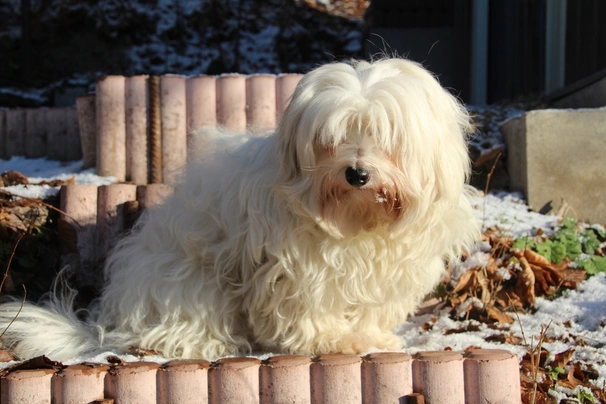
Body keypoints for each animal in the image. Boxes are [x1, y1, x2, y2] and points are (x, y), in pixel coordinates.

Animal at [2, 56, 482, 360]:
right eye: (332, 140)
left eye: (385, 137)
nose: (357, 174)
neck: (360, 222)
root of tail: (113, 320)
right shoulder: (297, 270)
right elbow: (310, 309)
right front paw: (328, 339)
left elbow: (369, 309)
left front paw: (367, 335)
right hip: (192, 283)